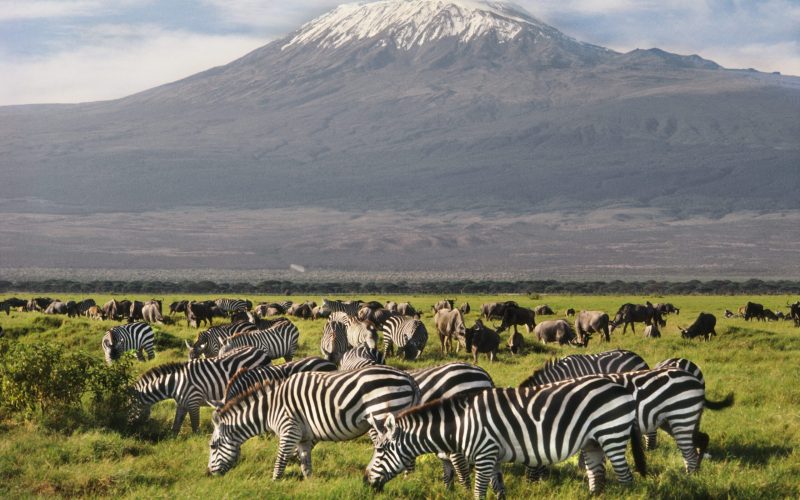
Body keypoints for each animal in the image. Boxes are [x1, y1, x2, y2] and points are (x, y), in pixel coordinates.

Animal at [130, 348, 270, 434]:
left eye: (129, 406)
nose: (132, 429)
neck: (174, 383)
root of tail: (261, 351)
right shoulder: (182, 403)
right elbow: (176, 426)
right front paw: (172, 441)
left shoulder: (193, 401)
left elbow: (195, 426)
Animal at [206, 366, 422, 478]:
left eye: (213, 446)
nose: (208, 473)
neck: (269, 409)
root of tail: (407, 376)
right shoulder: (303, 436)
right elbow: (305, 462)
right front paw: (310, 484)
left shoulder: (288, 429)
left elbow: (280, 460)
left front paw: (275, 483)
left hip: (384, 413)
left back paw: (406, 481)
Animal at [366, 378, 648, 496]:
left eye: (380, 450)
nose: (365, 481)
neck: (461, 424)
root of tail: (621, 387)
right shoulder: (494, 456)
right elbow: (498, 488)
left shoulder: (484, 453)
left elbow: (479, 490)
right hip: (592, 442)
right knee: (596, 475)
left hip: (611, 434)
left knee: (626, 477)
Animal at [520, 368, 736, 476]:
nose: (531, 481)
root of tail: (695, 379)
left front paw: (585, 470)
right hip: (672, 421)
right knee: (702, 439)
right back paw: (696, 470)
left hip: (681, 415)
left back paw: (691, 474)